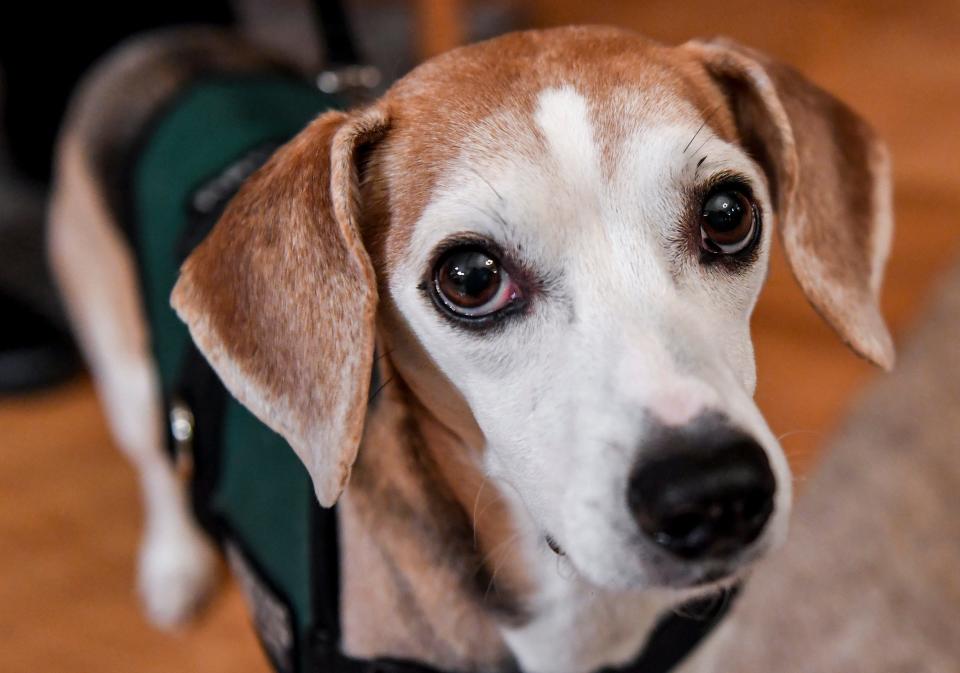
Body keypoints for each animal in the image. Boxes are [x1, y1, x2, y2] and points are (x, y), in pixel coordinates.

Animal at [50, 23, 892, 672]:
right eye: (470, 277)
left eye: (726, 213)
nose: (712, 493)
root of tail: (164, 43)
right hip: (124, 373)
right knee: (156, 456)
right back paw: (173, 563)